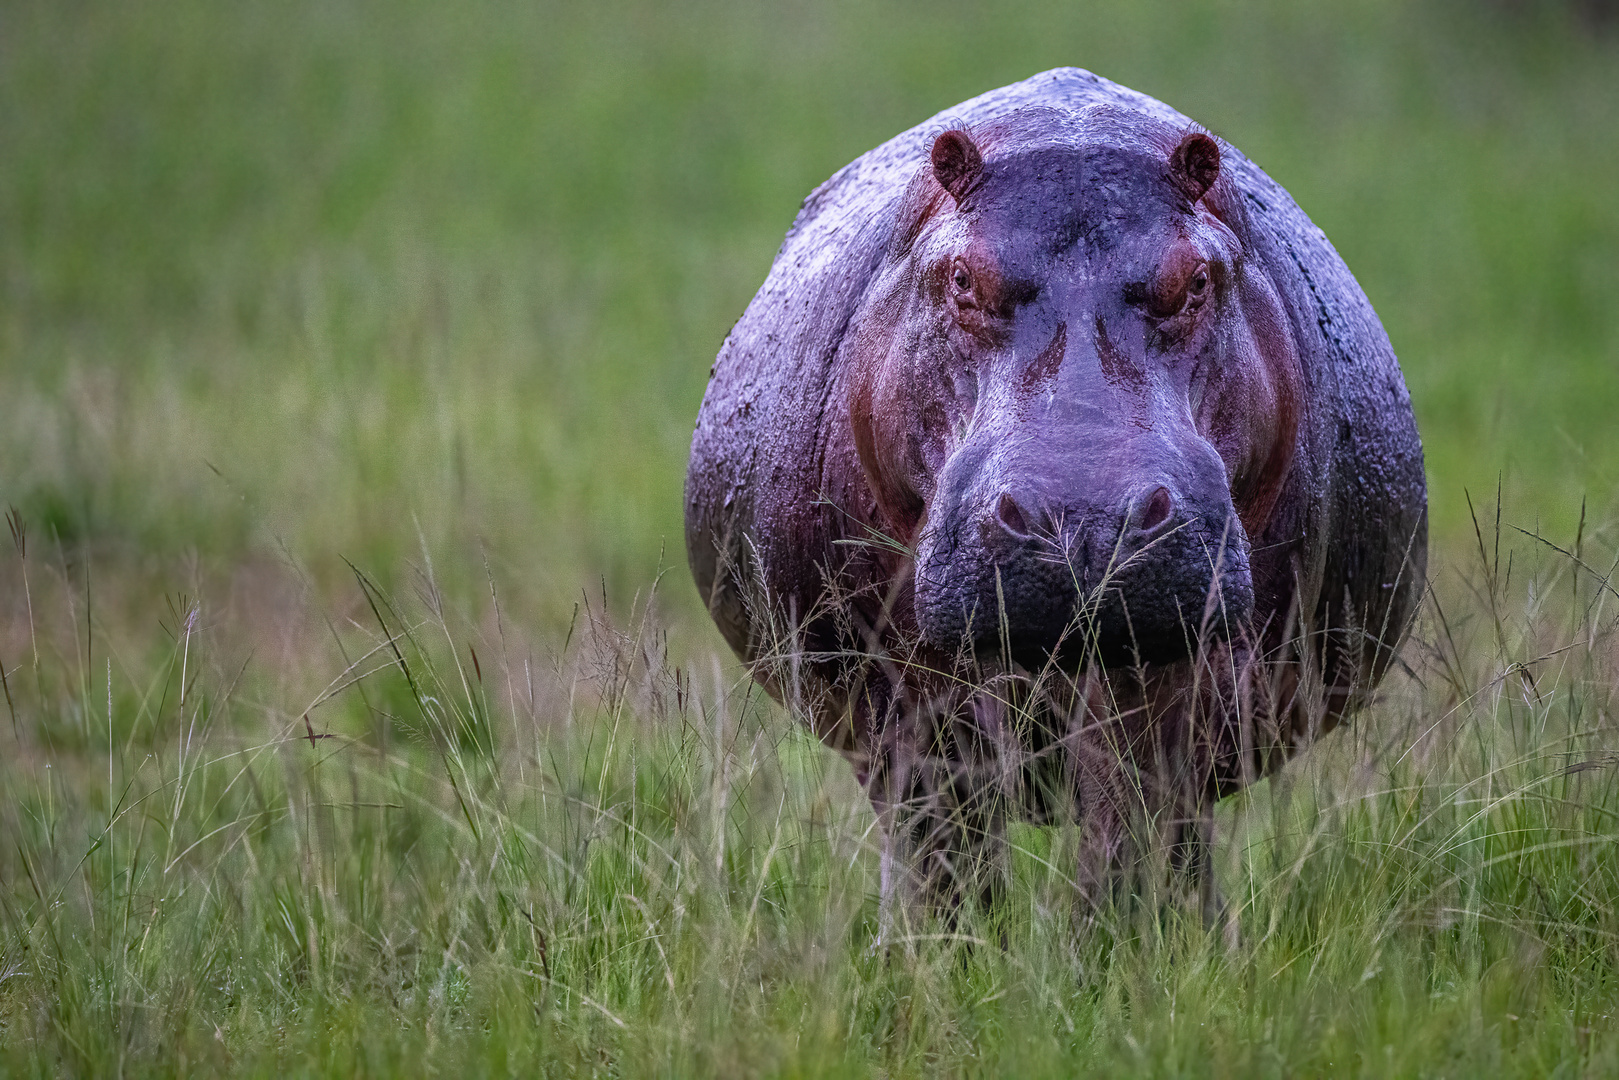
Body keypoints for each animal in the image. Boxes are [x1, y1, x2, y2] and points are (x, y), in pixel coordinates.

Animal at [683, 67, 1431, 919]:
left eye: (1197, 279)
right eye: (961, 276)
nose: (1086, 521)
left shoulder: (1174, 668)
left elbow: (1133, 821)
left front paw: (1132, 944)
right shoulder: (897, 683)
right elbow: (941, 844)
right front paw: (940, 949)